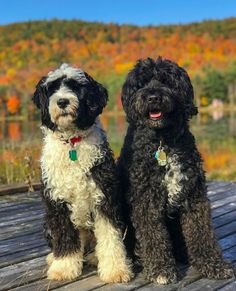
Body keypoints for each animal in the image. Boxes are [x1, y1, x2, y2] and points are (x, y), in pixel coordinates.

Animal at [32, 63, 133, 282]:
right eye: (52, 88)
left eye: (76, 86)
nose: (62, 101)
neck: (73, 143)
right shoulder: (57, 202)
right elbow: (64, 237)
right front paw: (63, 267)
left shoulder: (104, 198)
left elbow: (110, 237)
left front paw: (115, 270)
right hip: (47, 223)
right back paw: (53, 257)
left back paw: (95, 257)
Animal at [118, 57, 234, 286]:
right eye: (142, 83)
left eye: (166, 80)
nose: (153, 97)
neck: (162, 141)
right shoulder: (146, 199)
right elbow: (153, 235)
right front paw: (161, 269)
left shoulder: (194, 194)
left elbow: (201, 232)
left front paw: (213, 264)